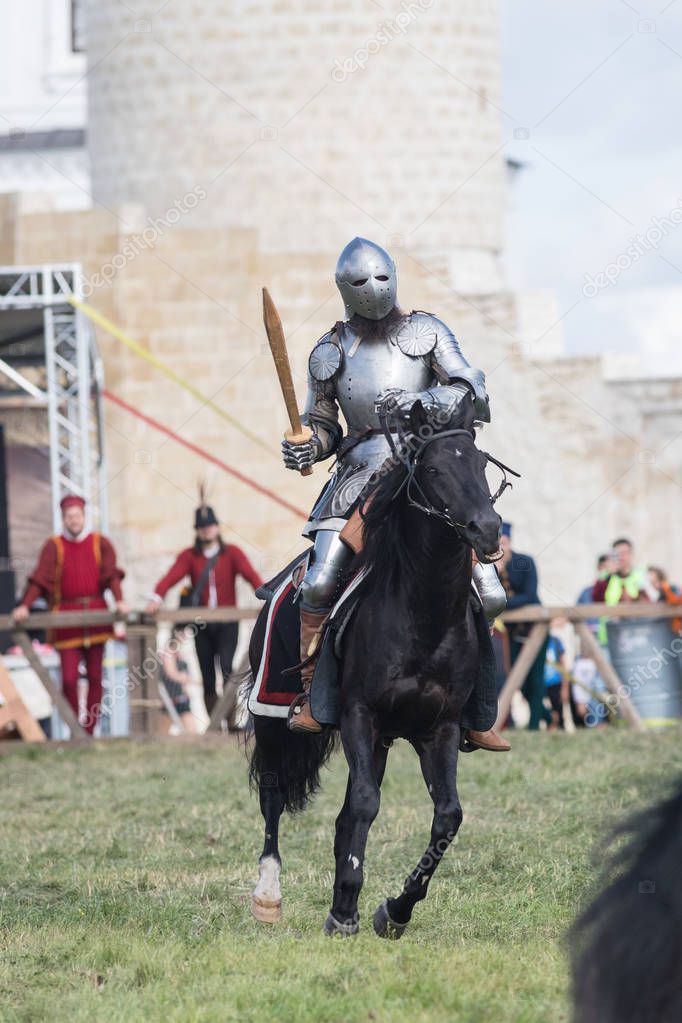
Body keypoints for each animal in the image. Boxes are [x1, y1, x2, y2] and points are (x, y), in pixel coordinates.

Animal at [248, 394, 505, 937]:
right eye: (432, 468)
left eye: (479, 464)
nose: (487, 530)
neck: (423, 616)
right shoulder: (357, 716)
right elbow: (366, 804)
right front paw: (346, 908)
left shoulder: (438, 728)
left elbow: (446, 815)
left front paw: (394, 909)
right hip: (273, 720)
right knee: (274, 797)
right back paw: (268, 897)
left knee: (346, 813)